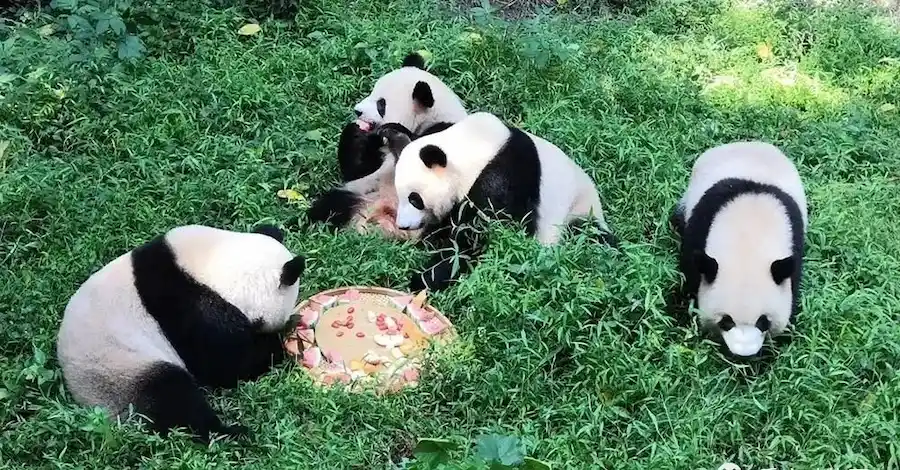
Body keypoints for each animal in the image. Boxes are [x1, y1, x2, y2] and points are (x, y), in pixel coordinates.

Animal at [56, 224, 305, 442]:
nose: (286, 321)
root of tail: (88, 402)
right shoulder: (192, 307)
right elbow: (226, 364)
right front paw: (278, 343)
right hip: (120, 370)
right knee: (172, 398)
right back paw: (228, 433)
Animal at [306, 52, 467, 240]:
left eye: (381, 104)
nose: (357, 111)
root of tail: (385, 222)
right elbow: (358, 169)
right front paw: (357, 131)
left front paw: (396, 131)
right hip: (363, 194)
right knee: (331, 204)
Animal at [379, 111, 613, 292]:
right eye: (400, 194)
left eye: (415, 199)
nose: (403, 225)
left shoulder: (501, 178)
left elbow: (475, 240)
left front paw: (422, 280)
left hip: (578, 215)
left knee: (593, 240)